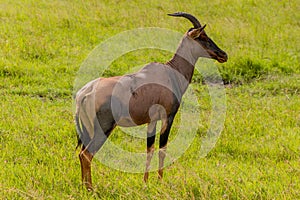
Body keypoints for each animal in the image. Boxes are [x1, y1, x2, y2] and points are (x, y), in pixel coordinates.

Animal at [75, 11, 227, 190]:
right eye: (202, 36)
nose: (224, 55)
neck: (170, 71)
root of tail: (85, 93)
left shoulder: (151, 120)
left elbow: (150, 149)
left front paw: (145, 182)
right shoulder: (168, 117)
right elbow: (162, 148)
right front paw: (160, 181)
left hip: (89, 129)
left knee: (81, 154)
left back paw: (84, 186)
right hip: (103, 128)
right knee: (87, 154)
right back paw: (90, 189)